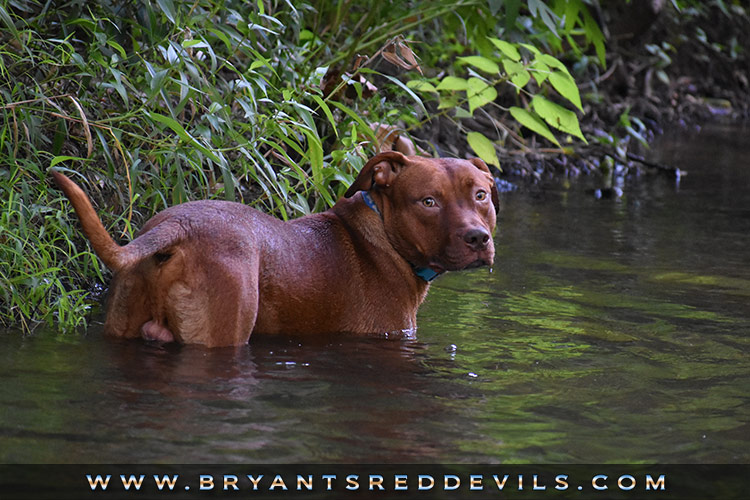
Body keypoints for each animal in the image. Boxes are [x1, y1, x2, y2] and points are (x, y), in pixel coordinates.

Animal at [53, 152, 500, 348]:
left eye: (480, 195)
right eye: (428, 201)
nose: (478, 238)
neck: (383, 234)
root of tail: (176, 227)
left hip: (123, 320)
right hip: (222, 331)